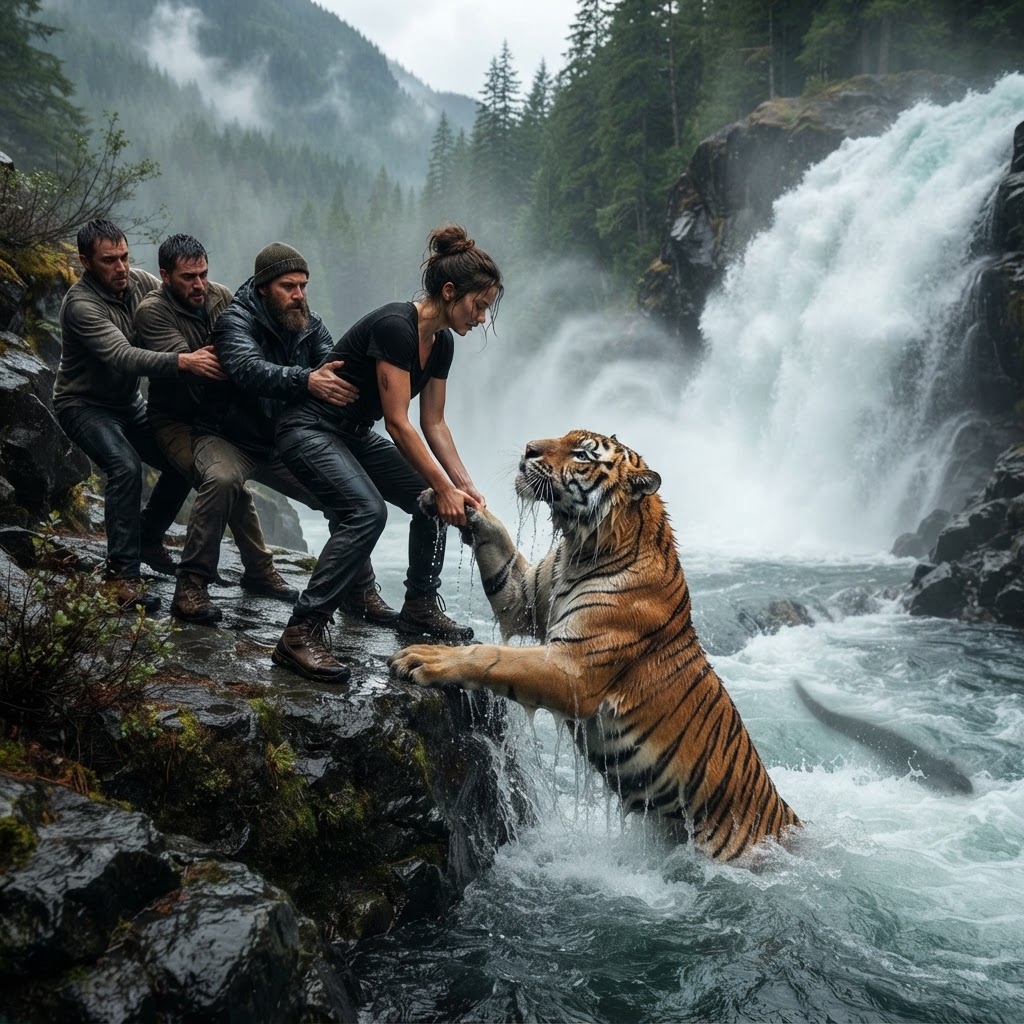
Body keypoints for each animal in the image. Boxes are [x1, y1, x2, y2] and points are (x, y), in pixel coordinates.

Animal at [387, 428, 801, 863]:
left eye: (583, 455)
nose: (528, 449)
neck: (581, 547)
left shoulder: (573, 669)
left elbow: (494, 656)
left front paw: (424, 657)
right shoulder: (524, 600)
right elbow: (499, 544)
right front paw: (449, 498)